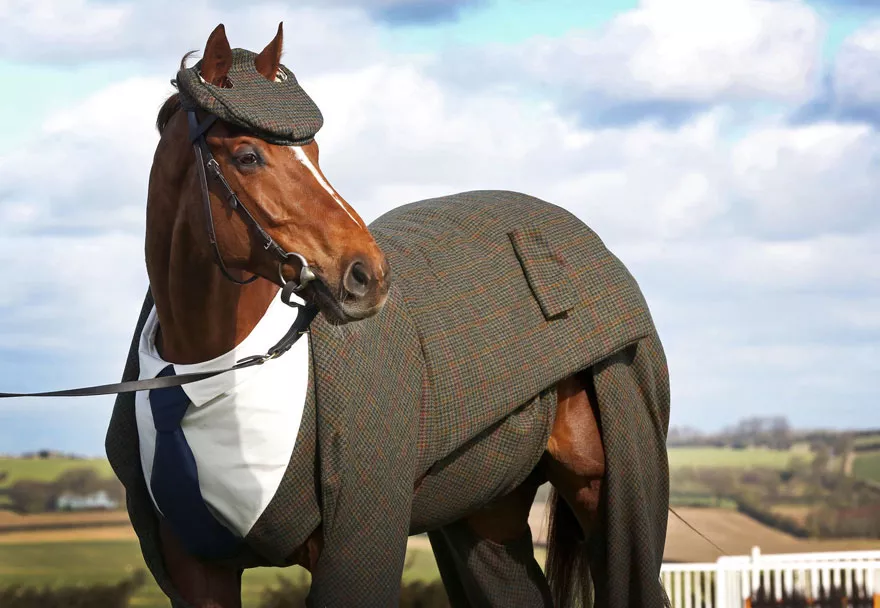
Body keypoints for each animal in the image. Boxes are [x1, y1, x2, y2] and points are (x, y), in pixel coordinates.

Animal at [144, 23, 616, 608]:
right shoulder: (198, 572)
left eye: (313, 150)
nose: (368, 274)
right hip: (490, 513)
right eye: (248, 156)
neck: (211, 372)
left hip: (596, 492)